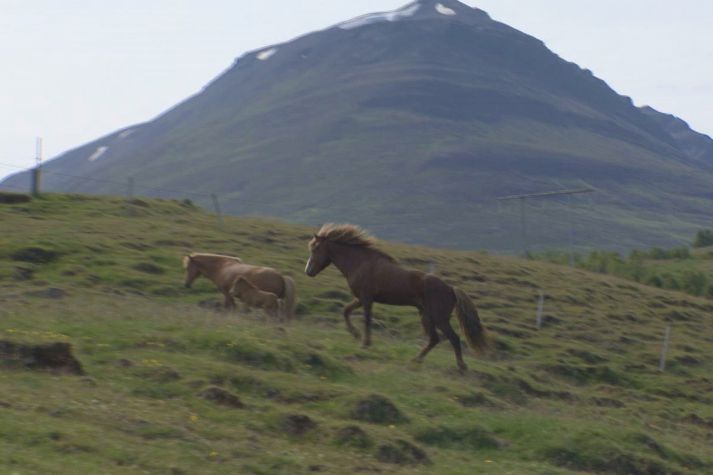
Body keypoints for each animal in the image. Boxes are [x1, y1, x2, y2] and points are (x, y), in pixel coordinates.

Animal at [300, 224, 490, 372]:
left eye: (315, 248)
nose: (308, 271)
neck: (360, 263)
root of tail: (451, 289)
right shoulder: (360, 298)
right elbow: (346, 311)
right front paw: (355, 334)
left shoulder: (366, 299)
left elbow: (366, 320)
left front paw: (365, 343)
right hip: (426, 315)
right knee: (434, 339)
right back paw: (416, 360)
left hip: (439, 318)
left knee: (453, 338)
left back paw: (461, 366)